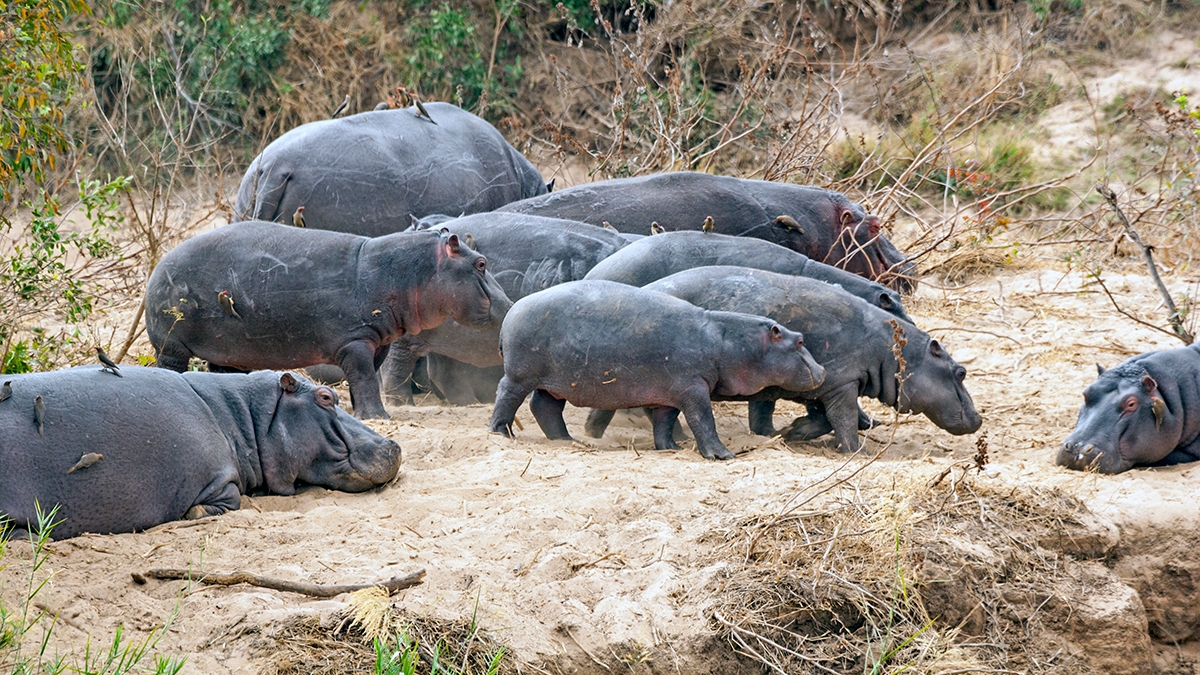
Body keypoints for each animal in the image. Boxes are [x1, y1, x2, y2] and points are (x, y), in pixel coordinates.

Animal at [0, 367, 400, 539]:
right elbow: (229, 500)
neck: (243, 414)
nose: (392, 445)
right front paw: (192, 514)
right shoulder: (217, 481)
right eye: (326, 396)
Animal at [145, 221, 507, 419]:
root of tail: (159, 265)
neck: (409, 271)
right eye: (481, 263)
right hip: (171, 345)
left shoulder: (378, 341)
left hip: (228, 351)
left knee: (223, 373)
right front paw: (380, 415)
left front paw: (363, 414)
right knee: (171, 367)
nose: (509, 303)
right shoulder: (354, 341)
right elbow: (364, 377)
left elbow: (366, 378)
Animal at [382, 213, 630, 404]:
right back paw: (402, 402)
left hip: (444, 337)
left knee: (443, 372)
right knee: (396, 367)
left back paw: (467, 403)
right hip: (410, 339)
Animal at [488, 280, 826, 460]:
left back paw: (568, 441)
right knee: (507, 395)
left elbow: (664, 422)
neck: (726, 340)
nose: (822, 370)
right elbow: (703, 420)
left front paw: (671, 448)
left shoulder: (669, 394)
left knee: (544, 407)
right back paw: (500, 433)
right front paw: (722, 455)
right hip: (520, 374)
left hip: (556, 382)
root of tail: (512, 311)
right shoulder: (693, 389)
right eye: (799, 341)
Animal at [584, 267, 981, 453]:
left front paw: (790, 433)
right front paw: (853, 450)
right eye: (960, 372)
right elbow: (842, 419)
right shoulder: (841, 382)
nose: (979, 419)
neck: (894, 351)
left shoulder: (821, 384)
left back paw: (592, 436)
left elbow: (819, 418)